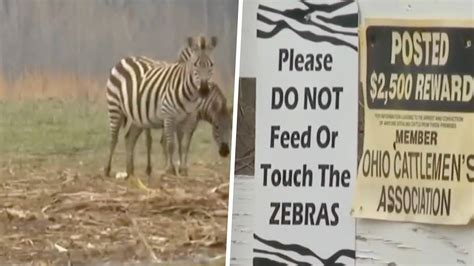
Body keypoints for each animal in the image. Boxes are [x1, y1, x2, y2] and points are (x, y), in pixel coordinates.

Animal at [104, 35, 218, 187]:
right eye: (195, 65)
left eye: (211, 65)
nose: (204, 90)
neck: (189, 94)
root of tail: (125, 59)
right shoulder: (169, 116)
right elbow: (170, 145)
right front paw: (171, 170)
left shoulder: (188, 119)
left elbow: (184, 146)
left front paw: (183, 170)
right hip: (115, 107)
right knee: (113, 139)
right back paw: (107, 170)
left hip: (137, 116)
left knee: (129, 138)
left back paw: (130, 172)